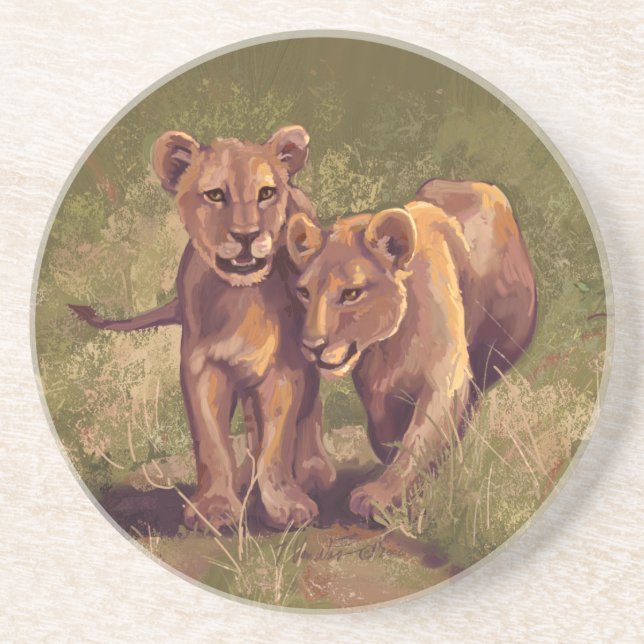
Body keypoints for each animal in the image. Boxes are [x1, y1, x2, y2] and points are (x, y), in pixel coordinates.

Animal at [70, 126, 336, 529]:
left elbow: (278, 440)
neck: (243, 298)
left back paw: (312, 471)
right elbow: (212, 443)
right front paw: (215, 508)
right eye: (215, 195)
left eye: (266, 193)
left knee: (309, 409)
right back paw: (246, 480)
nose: (246, 235)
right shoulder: (202, 369)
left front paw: (286, 504)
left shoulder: (285, 369)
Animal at [285, 180, 536, 519]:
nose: (312, 346)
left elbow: (419, 437)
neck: (390, 344)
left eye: (351, 293)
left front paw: (379, 496)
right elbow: (387, 426)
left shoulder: (446, 376)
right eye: (304, 292)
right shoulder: (375, 385)